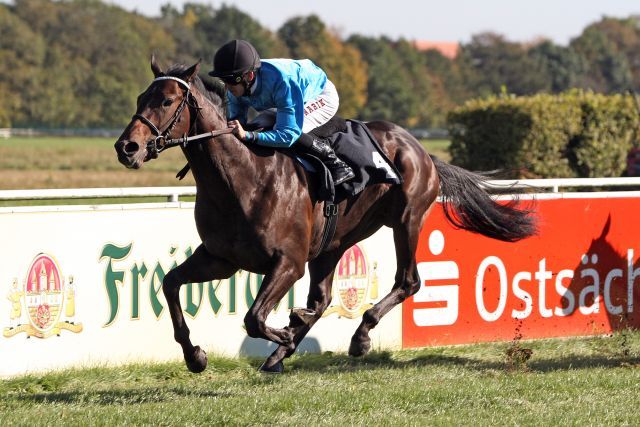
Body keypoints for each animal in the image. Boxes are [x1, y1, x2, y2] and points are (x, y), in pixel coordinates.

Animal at [114, 57, 536, 374]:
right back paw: (282, 351)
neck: (242, 177)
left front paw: (285, 333)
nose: (126, 147)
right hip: (333, 242)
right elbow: (170, 284)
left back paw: (358, 337)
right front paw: (195, 356)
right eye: (141, 96)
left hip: (406, 220)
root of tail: (422, 149)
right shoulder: (220, 258)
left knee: (408, 281)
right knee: (322, 299)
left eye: (167, 101)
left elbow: (253, 318)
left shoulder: (288, 262)